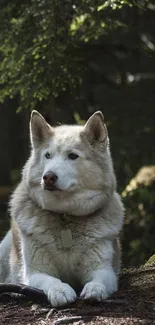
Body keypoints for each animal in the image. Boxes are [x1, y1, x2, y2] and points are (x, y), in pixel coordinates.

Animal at [0, 110, 124, 306]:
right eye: (47, 156)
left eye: (72, 156)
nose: (48, 177)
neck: (65, 215)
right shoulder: (36, 272)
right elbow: (51, 280)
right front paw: (61, 291)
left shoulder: (104, 269)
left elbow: (100, 280)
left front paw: (94, 290)